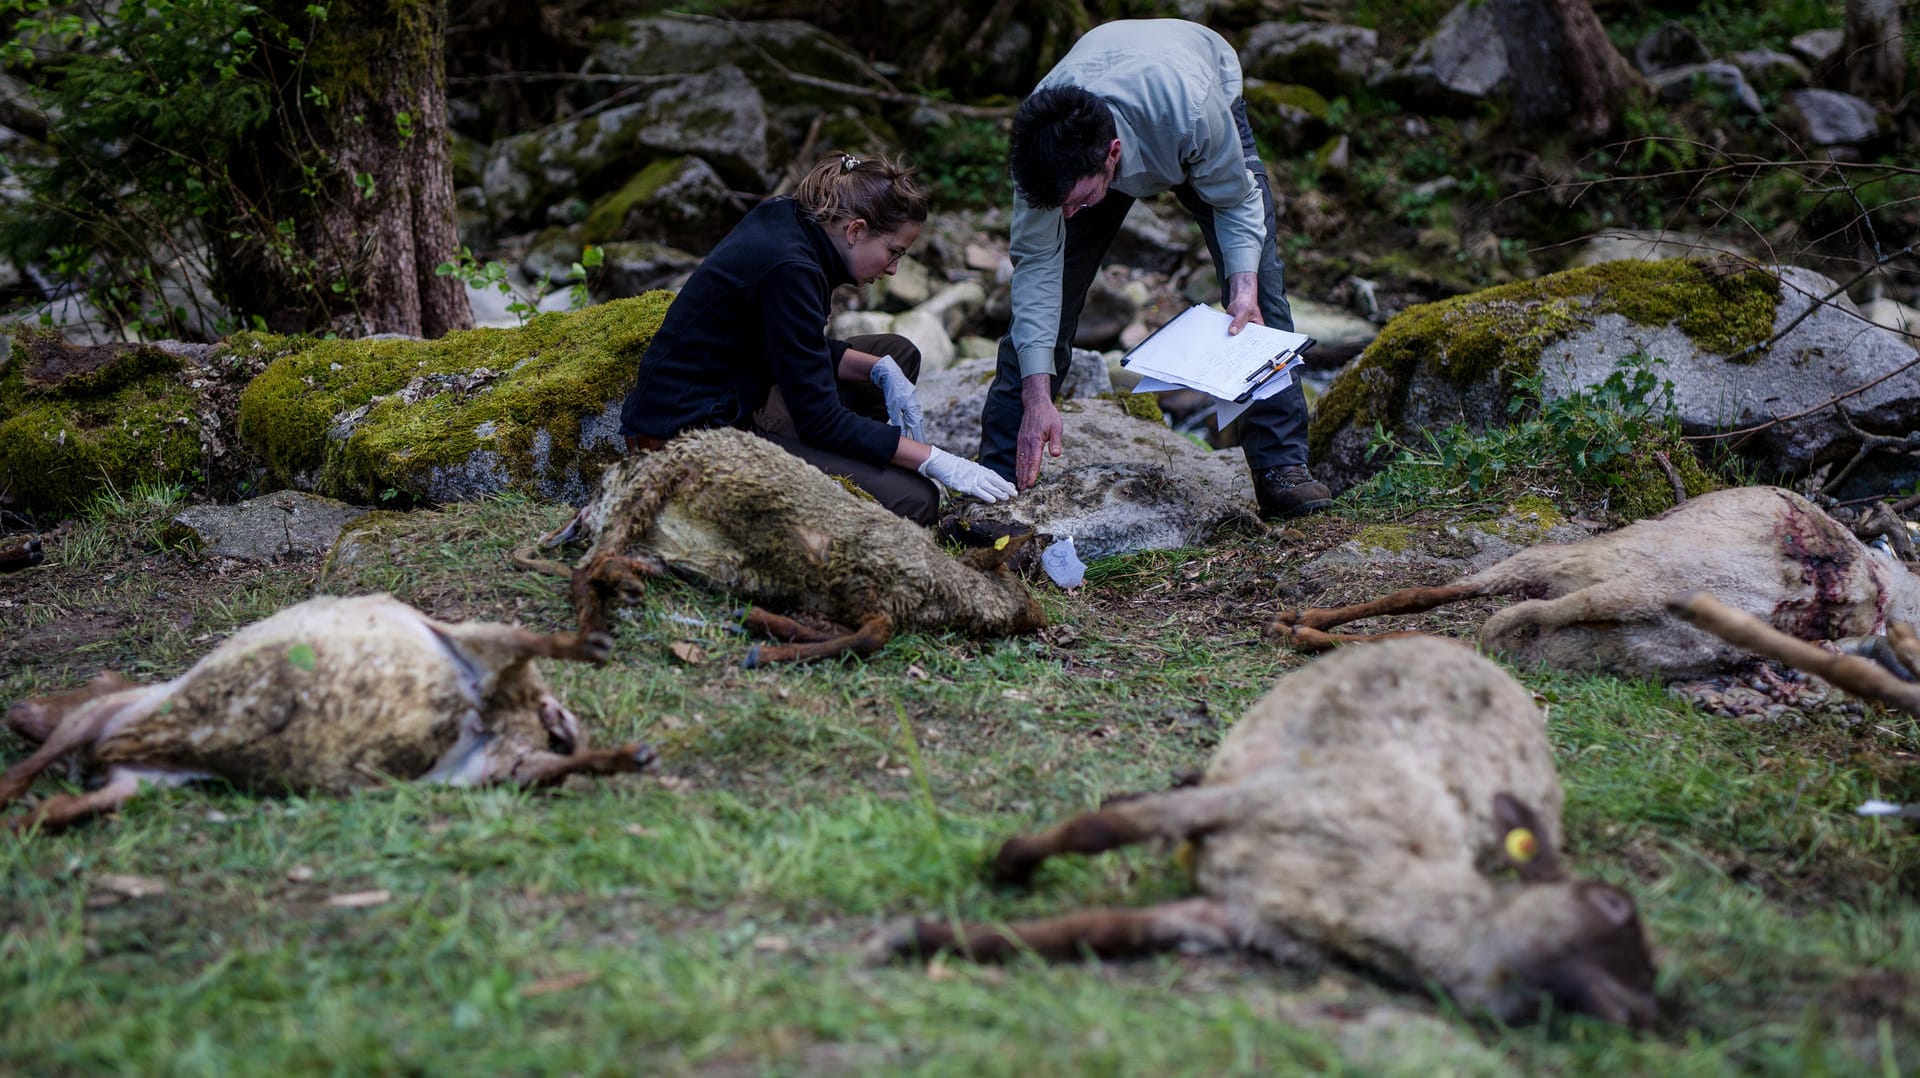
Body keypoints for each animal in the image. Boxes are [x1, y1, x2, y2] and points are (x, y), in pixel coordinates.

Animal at [1, 588, 652, 833]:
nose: (18, 711)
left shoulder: (105, 715)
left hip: (478, 653)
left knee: (532, 645)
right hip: (497, 753)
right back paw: (621, 747)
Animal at [518, 426, 1044, 664]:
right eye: (1015, 581)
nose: (1042, 620)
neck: (938, 589)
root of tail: (592, 503)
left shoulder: (848, 596)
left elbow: (851, 631)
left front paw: (765, 624)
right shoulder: (861, 575)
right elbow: (872, 636)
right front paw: (762, 647)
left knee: (599, 561)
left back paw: (635, 576)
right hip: (649, 486)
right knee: (586, 567)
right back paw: (602, 618)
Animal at [879, 634, 1658, 1029]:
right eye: (1613, 904)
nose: (1656, 1015)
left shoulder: (1228, 917)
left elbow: (1083, 932)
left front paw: (926, 939)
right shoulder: (1255, 800)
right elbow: (1098, 829)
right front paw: (1009, 865)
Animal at [1267, 490, 1912, 680]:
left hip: (1565, 598)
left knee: (1466, 623)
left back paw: (1301, 627)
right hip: (1574, 567)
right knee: (1458, 609)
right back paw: (1300, 624)